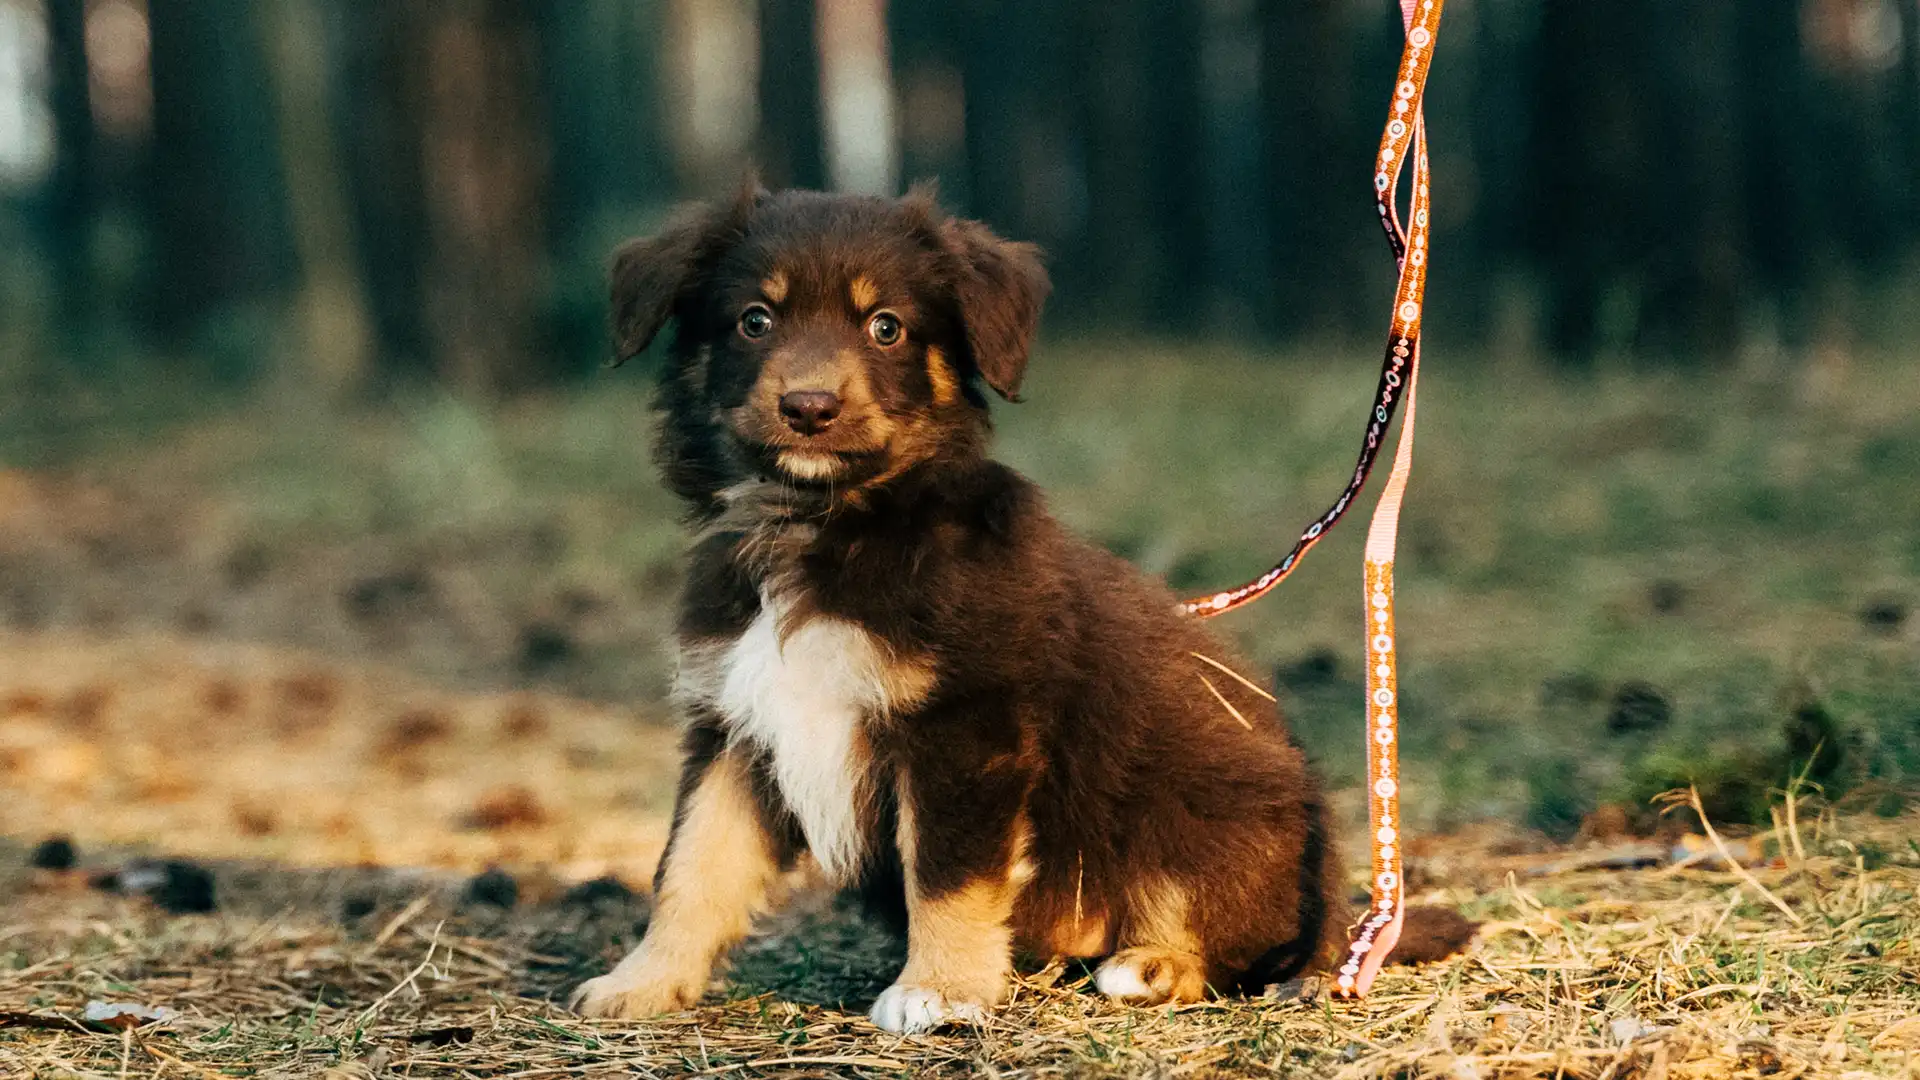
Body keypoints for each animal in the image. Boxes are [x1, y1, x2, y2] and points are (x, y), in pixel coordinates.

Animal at [568, 184, 1443, 1037]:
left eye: (886, 327)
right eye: (756, 319)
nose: (809, 408)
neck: (826, 525)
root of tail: (1343, 915)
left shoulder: (967, 726)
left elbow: (949, 873)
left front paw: (940, 991)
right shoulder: (736, 726)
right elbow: (691, 865)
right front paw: (640, 983)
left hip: (1208, 811)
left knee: (1230, 942)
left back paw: (1151, 965)